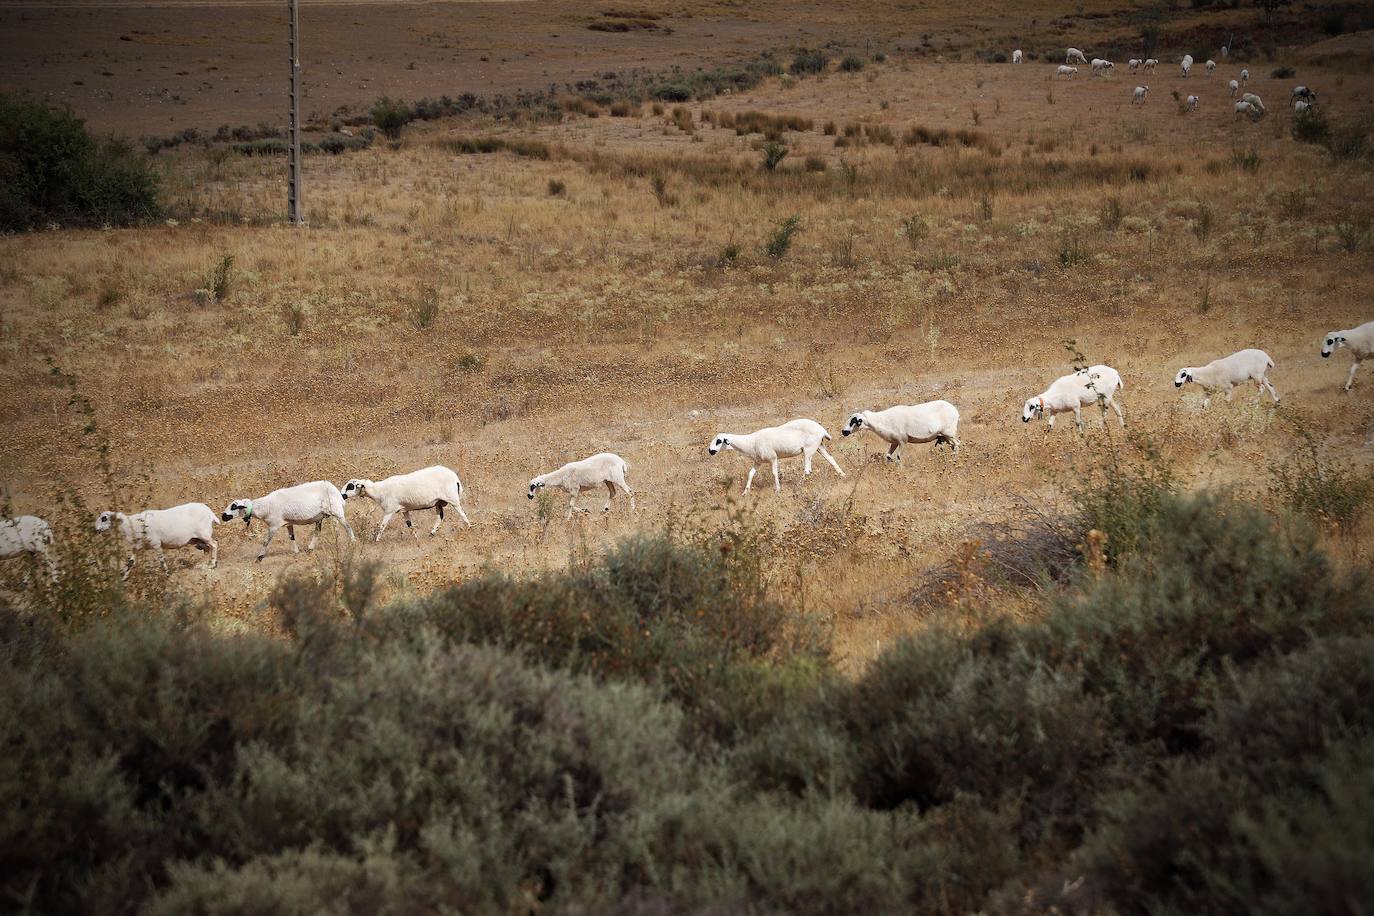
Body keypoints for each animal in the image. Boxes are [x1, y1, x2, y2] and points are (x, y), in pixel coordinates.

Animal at [219, 483, 354, 563]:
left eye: (234, 507)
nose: (223, 516)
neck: (264, 507)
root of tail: (335, 490)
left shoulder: (273, 526)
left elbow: (265, 541)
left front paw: (259, 558)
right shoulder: (288, 523)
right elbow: (292, 537)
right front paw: (296, 552)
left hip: (337, 511)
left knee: (347, 526)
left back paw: (353, 542)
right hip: (320, 516)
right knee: (318, 531)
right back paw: (311, 548)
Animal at [342, 469, 472, 541]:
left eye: (350, 486)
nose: (342, 495)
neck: (378, 491)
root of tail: (455, 478)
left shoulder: (389, 511)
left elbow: (382, 526)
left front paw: (377, 541)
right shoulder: (404, 510)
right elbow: (410, 525)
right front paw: (416, 538)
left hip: (452, 498)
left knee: (462, 513)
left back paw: (469, 527)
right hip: (438, 502)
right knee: (440, 517)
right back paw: (431, 533)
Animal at [703, 420, 840, 497]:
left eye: (719, 441)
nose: (710, 451)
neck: (751, 442)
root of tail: (822, 430)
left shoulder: (773, 458)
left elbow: (774, 473)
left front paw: (778, 491)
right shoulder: (758, 461)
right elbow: (750, 474)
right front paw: (745, 493)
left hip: (808, 450)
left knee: (807, 470)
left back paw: (798, 485)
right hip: (819, 447)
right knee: (831, 459)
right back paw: (842, 475)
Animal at [829, 401, 961, 461]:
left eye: (854, 421)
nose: (843, 431)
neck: (882, 420)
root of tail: (955, 410)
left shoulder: (903, 440)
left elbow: (898, 457)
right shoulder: (894, 442)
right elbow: (888, 456)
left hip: (949, 432)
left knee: (957, 444)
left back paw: (954, 459)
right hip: (945, 436)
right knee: (954, 445)